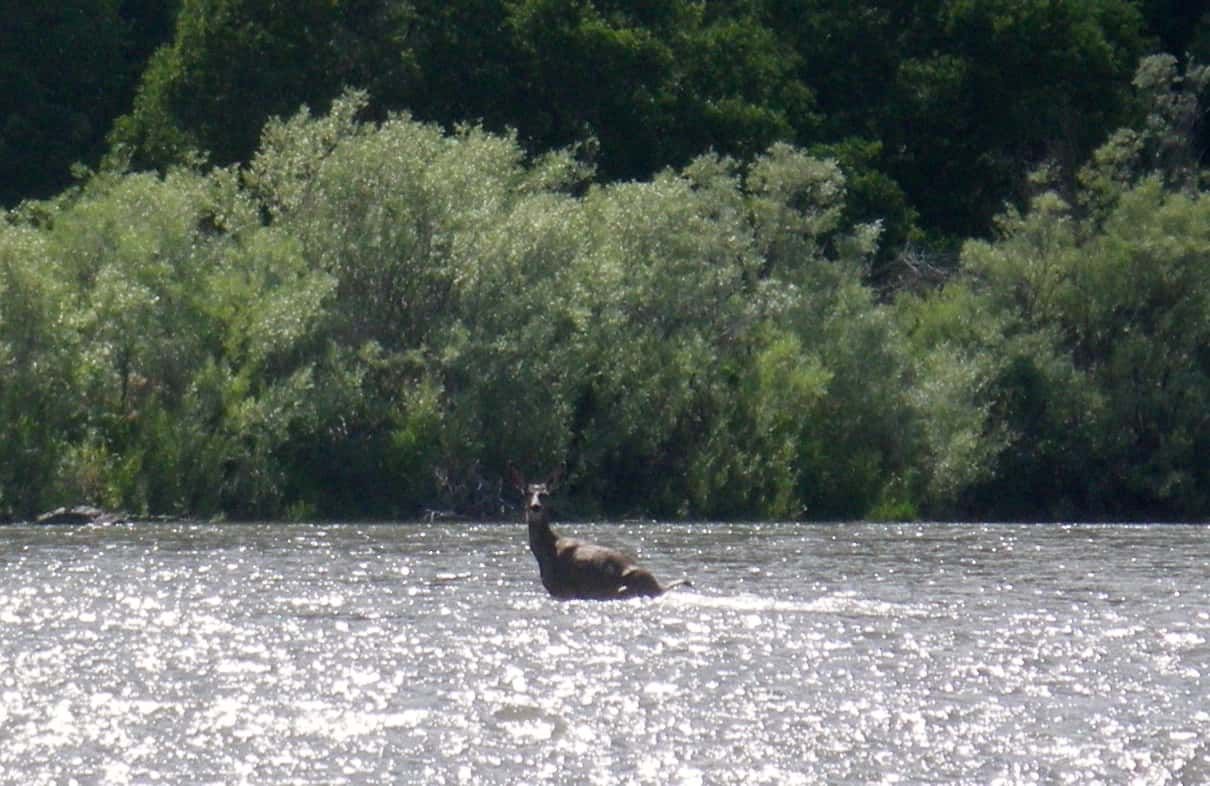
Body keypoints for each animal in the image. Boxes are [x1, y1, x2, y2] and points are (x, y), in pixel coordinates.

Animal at [511, 468, 691, 601]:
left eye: (545, 495)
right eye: (526, 493)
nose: (535, 507)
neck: (545, 551)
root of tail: (660, 587)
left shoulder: (564, 590)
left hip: (623, 588)